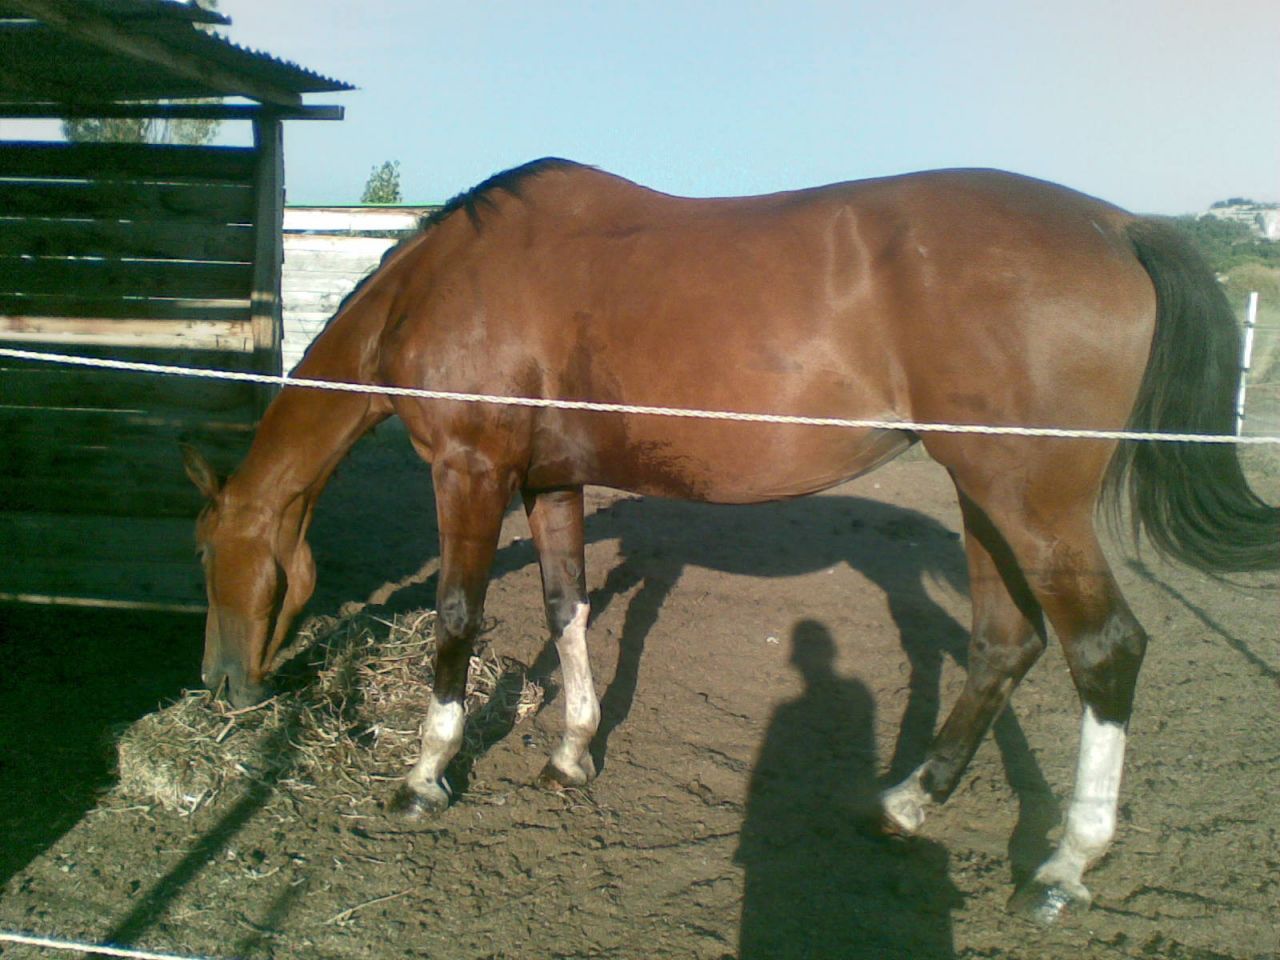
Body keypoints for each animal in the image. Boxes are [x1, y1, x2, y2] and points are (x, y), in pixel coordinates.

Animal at [182, 159, 1277, 923]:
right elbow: (567, 604)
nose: (220, 685)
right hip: (985, 498)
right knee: (1004, 644)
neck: (450, 279)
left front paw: (424, 777)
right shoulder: (549, 481)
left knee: (1104, 651)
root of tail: (1118, 224)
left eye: (203, 552)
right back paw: (902, 807)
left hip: (1029, 500)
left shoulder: (471, 472)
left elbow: (458, 616)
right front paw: (571, 752)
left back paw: (1061, 865)